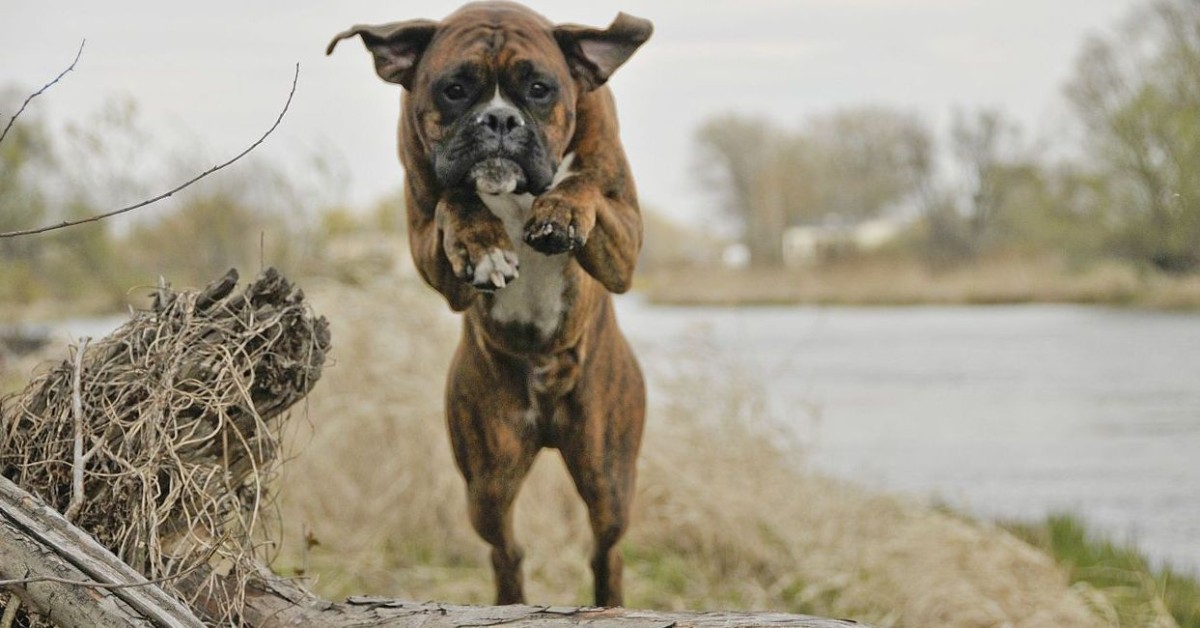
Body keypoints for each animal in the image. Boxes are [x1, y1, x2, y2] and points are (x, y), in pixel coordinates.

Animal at [324, 1, 652, 609]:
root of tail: (546, 419)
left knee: (606, 548)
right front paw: (485, 244)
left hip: (607, 474)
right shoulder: (428, 251)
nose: (499, 121)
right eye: (455, 90)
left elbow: (585, 184)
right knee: (507, 549)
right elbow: (455, 199)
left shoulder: (625, 247)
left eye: (540, 89)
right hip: (487, 481)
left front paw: (561, 211)